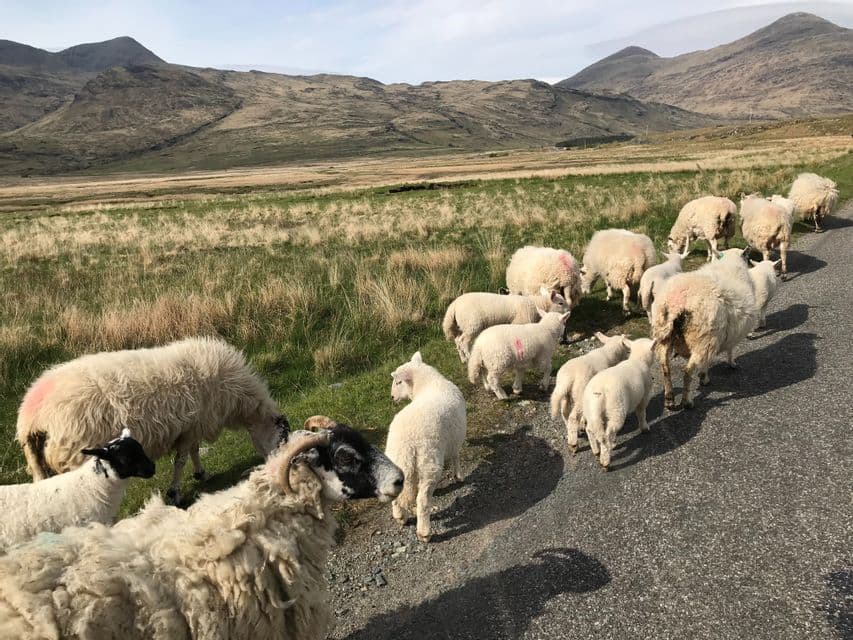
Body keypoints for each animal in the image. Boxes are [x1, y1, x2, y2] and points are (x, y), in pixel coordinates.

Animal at [16, 336, 289, 504]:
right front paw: (175, 493)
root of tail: (32, 416)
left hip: (40, 463)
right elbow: (180, 461)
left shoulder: (191, 426)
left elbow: (193, 452)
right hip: (76, 455)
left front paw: (201, 473)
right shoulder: (191, 427)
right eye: (283, 438)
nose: (274, 467)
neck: (240, 400)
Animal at [386, 351, 467, 542]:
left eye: (398, 382)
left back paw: (400, 517)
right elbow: (456, 456)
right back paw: (424, 532)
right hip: (429, 462)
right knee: (422, 499)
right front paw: (458, 476)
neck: (429, 384)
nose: (392, 397)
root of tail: (406, 445)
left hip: (396, 463)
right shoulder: (455, 439)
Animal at [582, 338, 657, 470]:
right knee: (607, 434)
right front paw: (644, 428)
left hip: (592, 410)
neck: (638, 360)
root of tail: (599, 391)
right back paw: (606, 460)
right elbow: (641, 412)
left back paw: (596, 450)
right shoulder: (644, 395)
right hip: (616, 407)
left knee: (591, 429)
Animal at [651, 248, 759, 410]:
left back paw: (669, 400)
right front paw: (729, 365)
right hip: (703, 337)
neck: (730, 265)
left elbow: (706, 361)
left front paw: (704, 376)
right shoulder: (728, 333)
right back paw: (687, 402)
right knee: (687, 370)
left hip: (664, 334)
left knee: (665, 367)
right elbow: (729, 350)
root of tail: (676, 303)